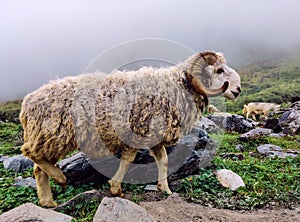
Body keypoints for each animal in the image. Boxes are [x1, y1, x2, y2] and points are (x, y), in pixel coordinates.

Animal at [19, 50, 241, 206]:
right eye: (219, 70)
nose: (238, 90)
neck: (178, 87)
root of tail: (27, 102)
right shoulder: (137, 132)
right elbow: (128, 161)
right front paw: (116, 188)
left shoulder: (154, 136)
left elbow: (164, 161)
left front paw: (165, 188)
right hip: (52, 133)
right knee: (30, 153)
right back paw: (60, 178)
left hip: (49, 138)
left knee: (38, 167)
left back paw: (48, 201)